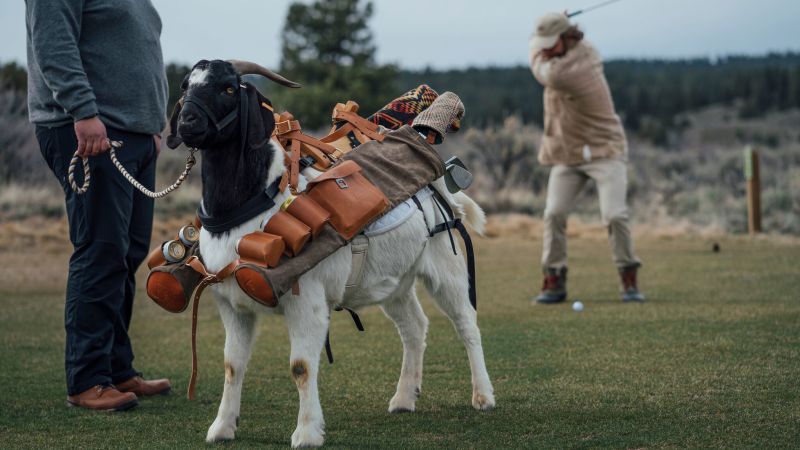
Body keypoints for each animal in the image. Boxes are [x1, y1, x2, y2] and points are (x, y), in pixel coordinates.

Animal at [167, 59, 494, 446]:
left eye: (229, 88)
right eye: (186, 85)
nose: (187, 122)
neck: (254, 201)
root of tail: (441, 184)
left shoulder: (306, 301)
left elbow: (301, 367)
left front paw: (307, 433)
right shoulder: (231, 304)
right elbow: (233, 365)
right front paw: (221, 428)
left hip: (446, 266)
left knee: (466, 323)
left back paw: (483, 395)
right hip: (394, 283)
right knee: (414, 326)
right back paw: (403, 397)